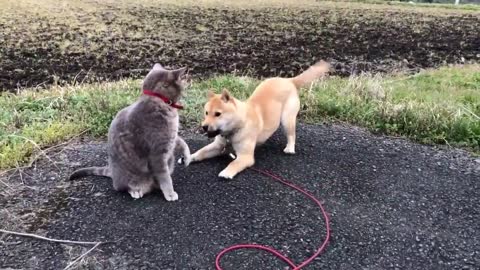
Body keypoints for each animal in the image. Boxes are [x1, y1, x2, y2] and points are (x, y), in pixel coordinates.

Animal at [69, 64, 191, 201]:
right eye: (181, 82)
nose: (185, 89)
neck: (160, 102)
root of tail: (112, 172)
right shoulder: (158, 154)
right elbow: (165, 177)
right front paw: (170, 193)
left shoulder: (172, 137)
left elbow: (182, 142)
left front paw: (187, 157)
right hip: (131, 178)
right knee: (126, 187)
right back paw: (136, 191)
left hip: (170, 161)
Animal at [191, 61, 330, 179]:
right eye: (206, 113)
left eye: (218, 114)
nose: (204, 126)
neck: (238, 126)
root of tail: (289, 80)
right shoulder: (217, 146)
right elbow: (201, 151)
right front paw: (191, 157)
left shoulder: (245, 157)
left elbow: (233, 164)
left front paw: (226, 172)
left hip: (287, 119)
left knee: (291, 135)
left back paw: (290, 148)